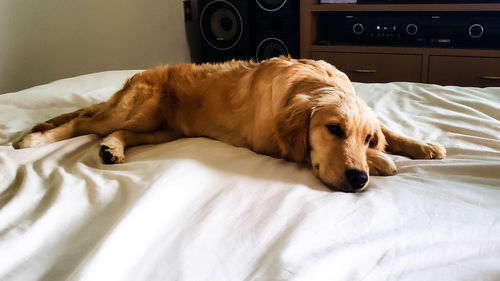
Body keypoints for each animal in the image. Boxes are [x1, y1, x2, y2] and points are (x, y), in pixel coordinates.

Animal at [15, 57, 446, 192]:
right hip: (138, 108)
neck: (308, 83)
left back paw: (112, 149)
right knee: (82, 121)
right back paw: (33, 140)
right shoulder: (270, 143)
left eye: (365, 136)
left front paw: (420, 145)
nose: (358, 180)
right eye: (334, 129)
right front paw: (383, 162)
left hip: (162, 128)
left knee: (112, 132)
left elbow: (391, 131)